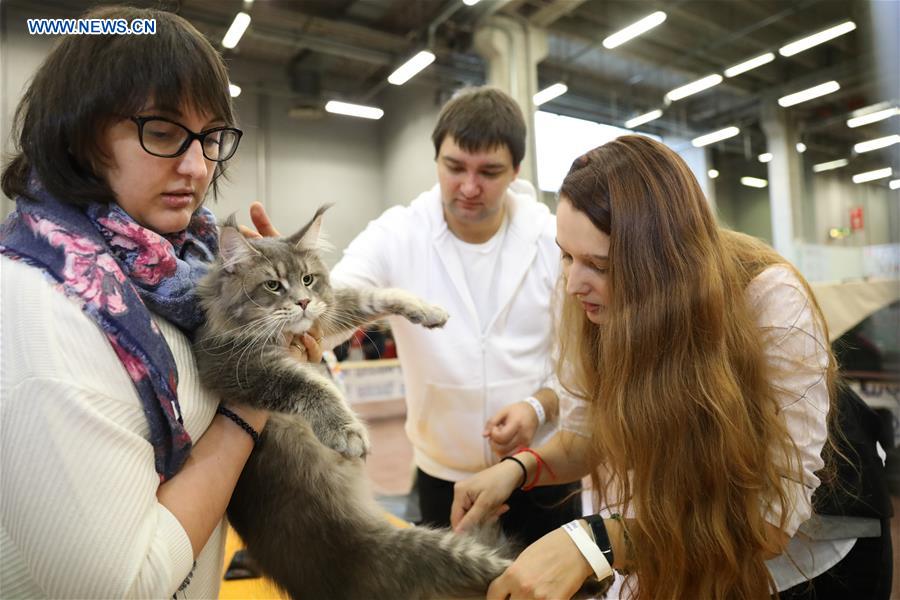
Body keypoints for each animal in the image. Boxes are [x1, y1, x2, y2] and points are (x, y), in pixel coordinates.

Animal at [192, 207, 510, 600]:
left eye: (308, 279)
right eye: (272, 286)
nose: (302, 302)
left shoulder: (325, 316)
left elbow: (371, 296)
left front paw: (427, 310)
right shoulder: (235, 366)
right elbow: (310, 385)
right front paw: (347, 431)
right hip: (428, 552)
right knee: (505, 567)